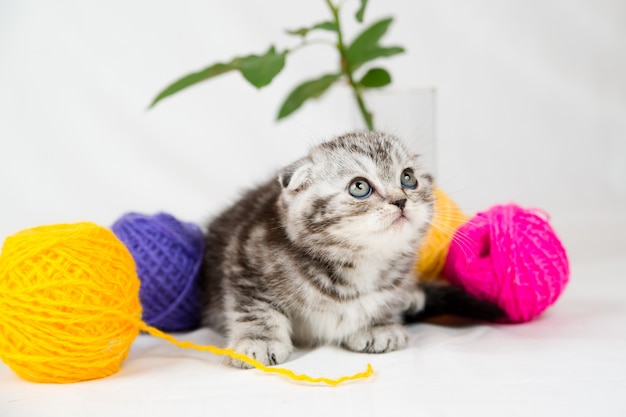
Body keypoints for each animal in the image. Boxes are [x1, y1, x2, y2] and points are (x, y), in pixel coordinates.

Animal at [202, 130, 500, 368]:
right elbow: (256, 308)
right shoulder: (246, 262)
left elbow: (384, 301)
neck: (359, 262)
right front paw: (258, 341)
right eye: (360, 187)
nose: (401, 201)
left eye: (408, 178)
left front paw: (378, 326)